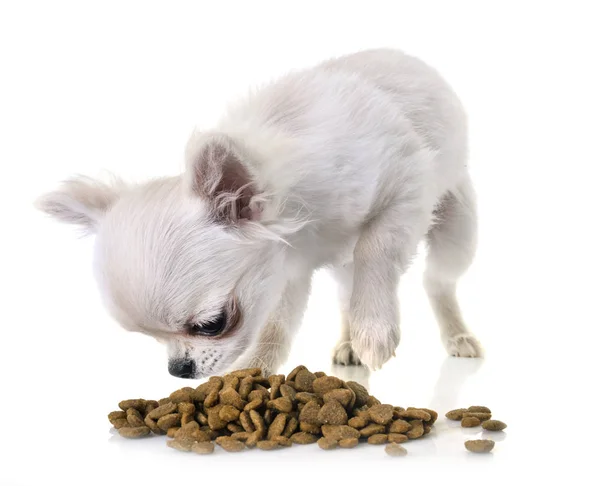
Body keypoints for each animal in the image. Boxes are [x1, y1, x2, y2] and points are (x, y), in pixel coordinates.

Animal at [36, 49, 482, 380]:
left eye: (213, 324)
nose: (178, 369)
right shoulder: (285, 271)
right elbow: (275, 328)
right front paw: (254, 373)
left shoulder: (407, 189)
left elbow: (376, 247)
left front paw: (374, 329)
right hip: (344, 267)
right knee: (346, 292)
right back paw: (347, 342)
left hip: (456, 230)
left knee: (437, 283)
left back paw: (455, 335)